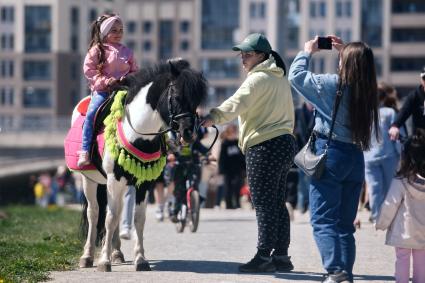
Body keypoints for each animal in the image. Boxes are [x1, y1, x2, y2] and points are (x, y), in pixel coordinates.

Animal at [65, 58, 208, 272]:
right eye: (176, 96)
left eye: (196, 101)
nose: (189, 133)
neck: (138, 133)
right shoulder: (114, 180)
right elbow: (109, 218)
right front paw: (103, 261)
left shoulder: (143, 183)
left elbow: (138, 219)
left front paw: (140, 259)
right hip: (89, 180)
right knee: (94, 213)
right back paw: (88, 256)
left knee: (116, 213)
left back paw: (117, 252)